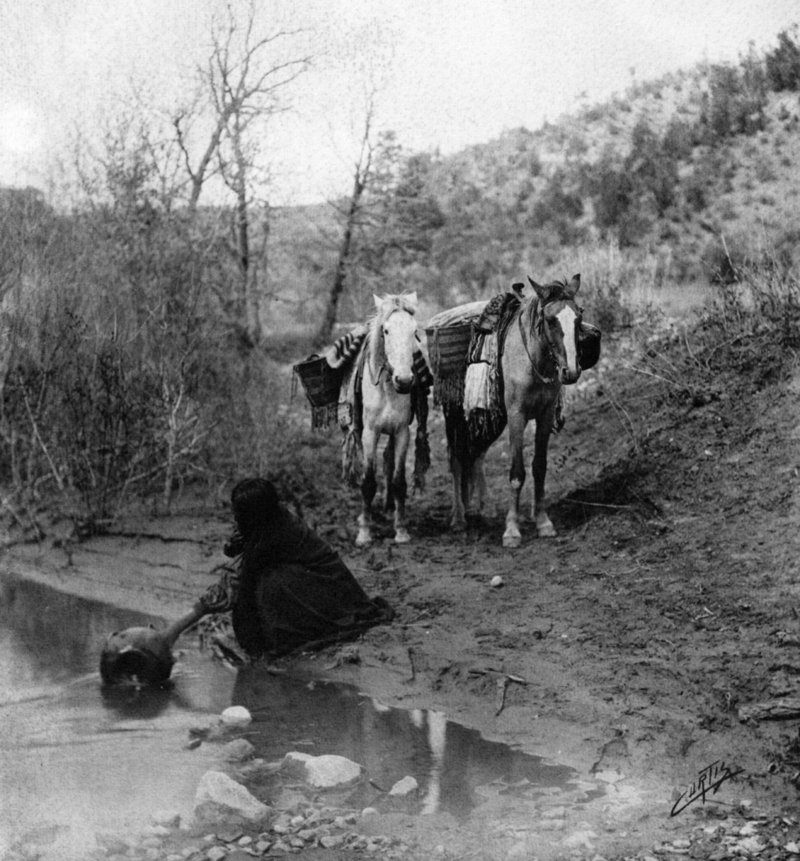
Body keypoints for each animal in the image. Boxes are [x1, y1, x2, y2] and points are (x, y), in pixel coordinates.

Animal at [354, 290, 418, 544]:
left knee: (389, 460)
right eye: (386, 330)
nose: (405, 381)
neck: (388, 389)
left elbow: (399, 481)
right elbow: (368, 481)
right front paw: (364, 533)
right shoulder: (370, 433)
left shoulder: (402, 432)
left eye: (414, 330)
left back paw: (390, 507)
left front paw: (401, 531)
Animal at [440, 276, 584, 544]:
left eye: (578, 317)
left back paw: (483, 509)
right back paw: (458, 518)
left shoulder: (545, 415)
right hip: (454, 417)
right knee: (456, 460)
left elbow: (539, 467)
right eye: (550, 320)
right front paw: (512, 530)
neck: (532, 361)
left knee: (476, 455)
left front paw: (543, 522)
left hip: (490, 421)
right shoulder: (517, 416)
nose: (570, 372)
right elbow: (517, 473)